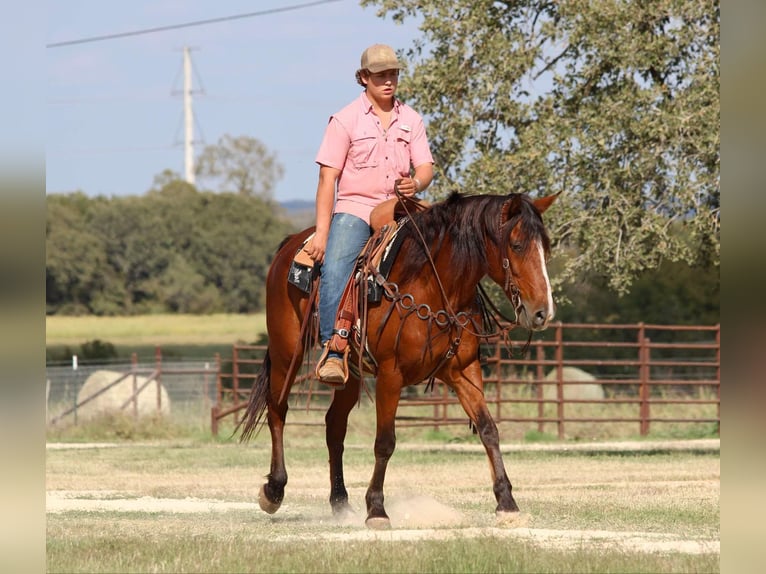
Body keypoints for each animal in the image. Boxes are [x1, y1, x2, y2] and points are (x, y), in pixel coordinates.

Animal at [238, 191, 557, 529]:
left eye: (546, 247)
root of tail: (292, 243)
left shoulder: (463, 372)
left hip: (349, 371)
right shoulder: (391, 375)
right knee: (277, 410)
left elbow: (488, 430)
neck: (433, 284)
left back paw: (340, 501)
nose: (543, 312)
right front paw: (377, 509)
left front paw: (507, 503)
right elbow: (385, 442)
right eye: (517, 245)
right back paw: (274, 490)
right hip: (287, 352)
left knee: (334, 425)